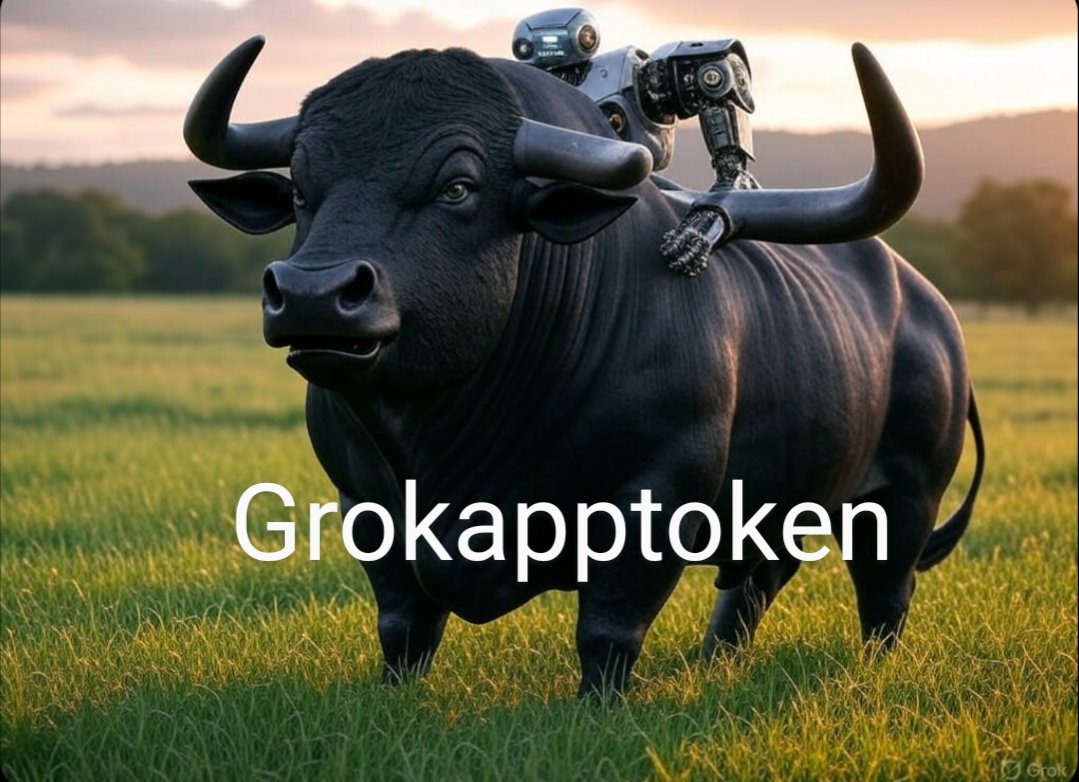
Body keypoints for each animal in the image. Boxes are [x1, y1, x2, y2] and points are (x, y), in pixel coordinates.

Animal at [184, 36, 985, 698]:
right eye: (298, 189)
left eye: (458, 187)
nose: (311, 294)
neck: (443, 437)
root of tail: (929, 307)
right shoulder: (363, 499)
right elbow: (403, 621)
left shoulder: (657, 498)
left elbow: (608, 626)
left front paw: (599, 702)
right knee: (752, 586)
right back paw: (712, 662)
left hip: (903, 499)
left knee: (883, 597)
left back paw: (866, 669)